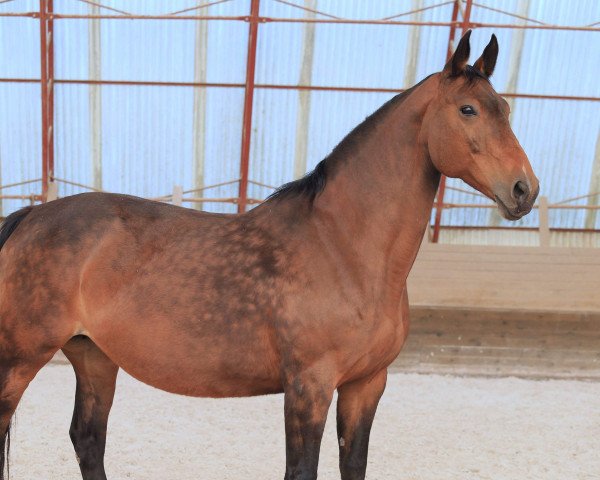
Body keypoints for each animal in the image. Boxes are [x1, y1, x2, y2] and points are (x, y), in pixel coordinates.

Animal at [0, 31, 540, 478]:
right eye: (468, 110)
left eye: (506, 108)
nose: (525, 190)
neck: (344, 248)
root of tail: (30, 217)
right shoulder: (309, 387)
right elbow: (301, 471)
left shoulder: (367, 384)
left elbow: (354, 466)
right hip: (20, 359)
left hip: (93, 355)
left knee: (88, 440)